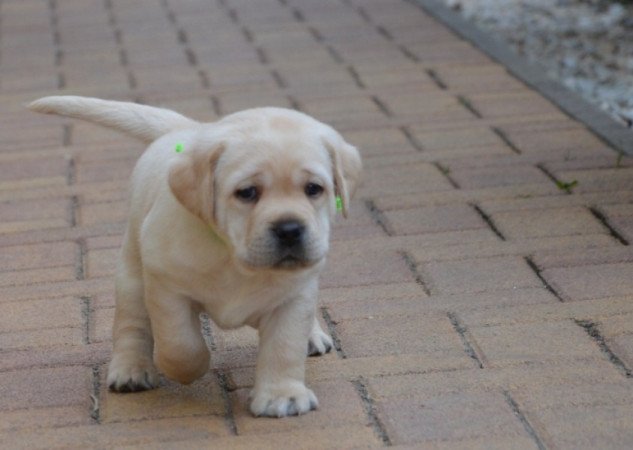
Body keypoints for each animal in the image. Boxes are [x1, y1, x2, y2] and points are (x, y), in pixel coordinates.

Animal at [29, 96, 362, 418]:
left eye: (314, 189)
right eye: (247, 192)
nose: (290, 229)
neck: (233, 258)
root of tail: (190, 129)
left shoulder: (292, 299)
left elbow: (284, 347)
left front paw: (282, 395)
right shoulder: (166, 287)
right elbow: (180, 345)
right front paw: (192, 366)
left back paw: (313, 335)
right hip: (131, 278)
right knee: (131, 325)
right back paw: (131, 370)